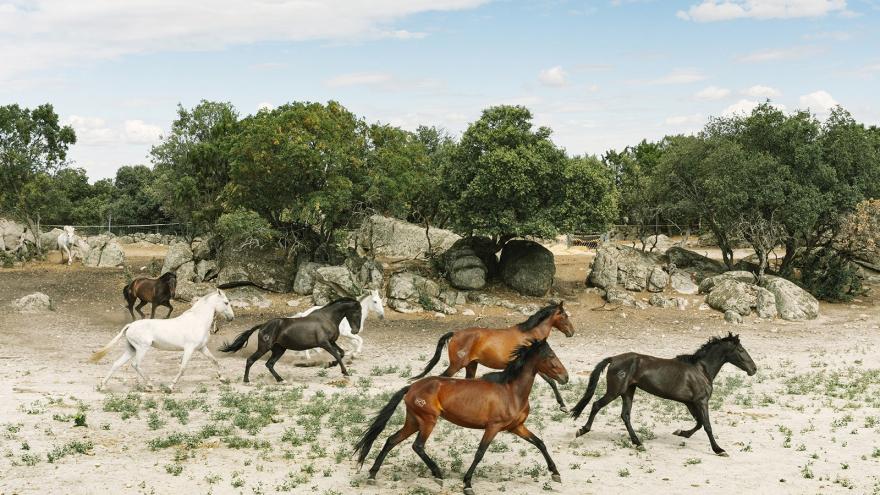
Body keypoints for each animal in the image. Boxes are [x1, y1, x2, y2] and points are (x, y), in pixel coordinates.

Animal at [90, 290, 234, 392]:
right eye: (226, 303)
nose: (232, 318)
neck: (197, 321)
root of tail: (130, 326)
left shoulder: (201, 348)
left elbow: (214, 361)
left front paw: (222, 378)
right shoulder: (190, 349)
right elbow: (183, 368)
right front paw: (170, 387)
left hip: (131, 349)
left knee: (116, 364)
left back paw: (102, 386)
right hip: (142, 348)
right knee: (135, 364)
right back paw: (150, 386)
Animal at [220, 298, 364, 380]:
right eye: (357, 312)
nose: (355, 331)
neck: (327, 318)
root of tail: (263, 325)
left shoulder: (332, 342)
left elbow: (341, 353)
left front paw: (330, 365)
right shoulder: (324, 343)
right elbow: (337, 355)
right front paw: (345, 372)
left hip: (279, 349)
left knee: (269, 364)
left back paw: (280, 379)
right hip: (264, 348)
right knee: (251, 360)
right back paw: (246, 380)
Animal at [352, 340, 568, 494]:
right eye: (550, 355)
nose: (565, 377)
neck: (511, 391)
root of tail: (411, 387)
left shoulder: (517, 427)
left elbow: (540, 443)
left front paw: (556, 474)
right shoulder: (493, 427)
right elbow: (480, 453)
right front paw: (467, 484)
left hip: (413, 421)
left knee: (391, 440)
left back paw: (372, 475)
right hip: (428, 421)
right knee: (417, 446)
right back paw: (437, 475)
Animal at [410, 302, 576, 410]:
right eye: (564, 316)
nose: (571, 332)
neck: (530, 335)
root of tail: (455, 333)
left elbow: (551, 382)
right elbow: (552, 382)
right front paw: (563, 405)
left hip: (471, 365)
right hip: (456, 365)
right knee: (442, 378)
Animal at [572, 334, 756, 458]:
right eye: (741, 350)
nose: (754, 369)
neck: (701, 370)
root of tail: (614, 359)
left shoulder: (691, 403)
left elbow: (698, 423)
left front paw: (681, 432)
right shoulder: (701, 401)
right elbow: (707, 426)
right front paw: (719, 450)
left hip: (628, 392)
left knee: (625, 415)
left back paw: (638, 443)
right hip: (615, 391)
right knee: (596, 405)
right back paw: (582, 431)